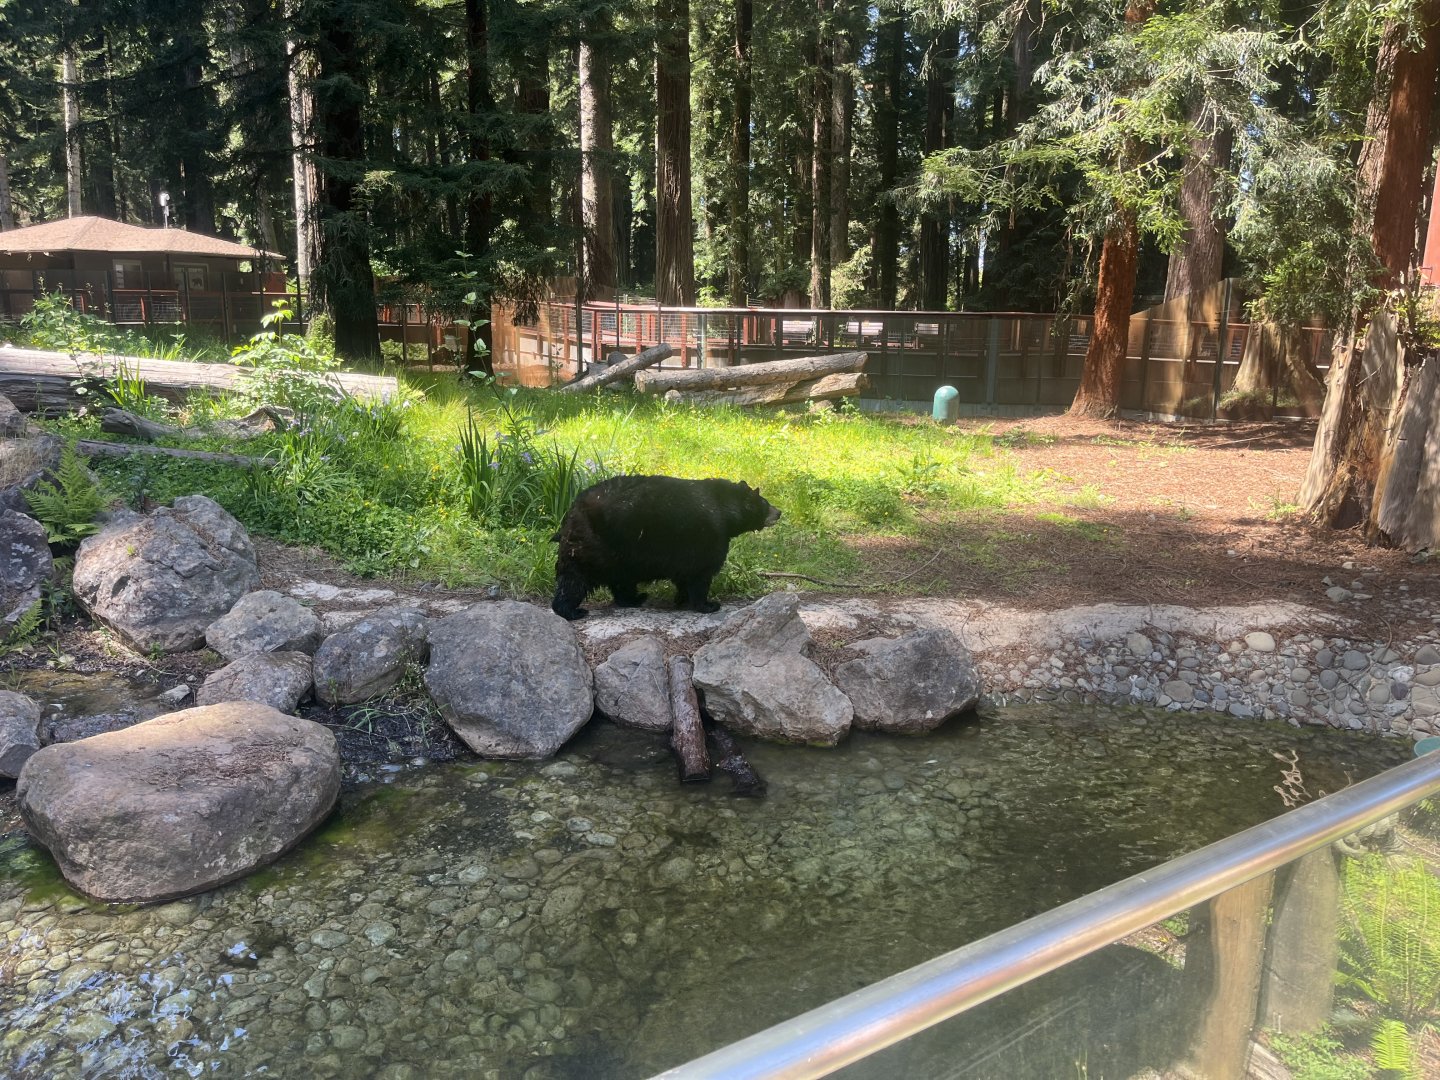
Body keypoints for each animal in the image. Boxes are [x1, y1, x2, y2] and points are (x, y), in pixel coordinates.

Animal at [551, 475, 781, 620]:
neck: (724, 509)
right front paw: (708, 605)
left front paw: (681, 599)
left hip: (619, 554)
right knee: (574, 579)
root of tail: (572, 510)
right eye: (764, 503)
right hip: (592, 545)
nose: (779, 512)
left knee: (620, 580)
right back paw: (572, 611)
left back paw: (635, 598)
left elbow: (684, 576)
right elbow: (700, 574)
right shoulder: (706, 537)